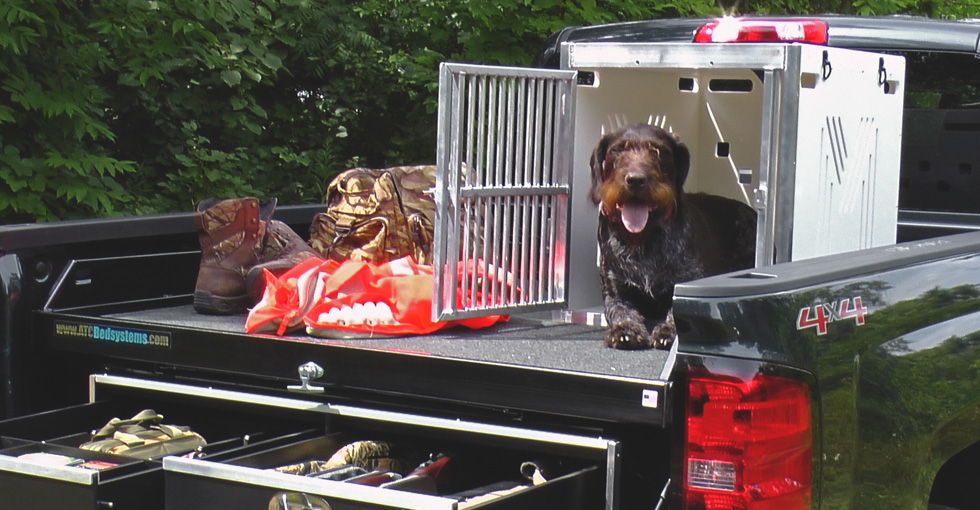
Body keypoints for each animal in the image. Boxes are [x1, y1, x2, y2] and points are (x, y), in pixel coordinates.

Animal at [588, 122, 756, 350]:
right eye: (618, 150)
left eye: (658, 151)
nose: (636, 180)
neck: (645, 237)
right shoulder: (616, 292)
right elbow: (621, 312)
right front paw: (625, 331)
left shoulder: (689, 282)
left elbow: (677, 311)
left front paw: (667, 331)